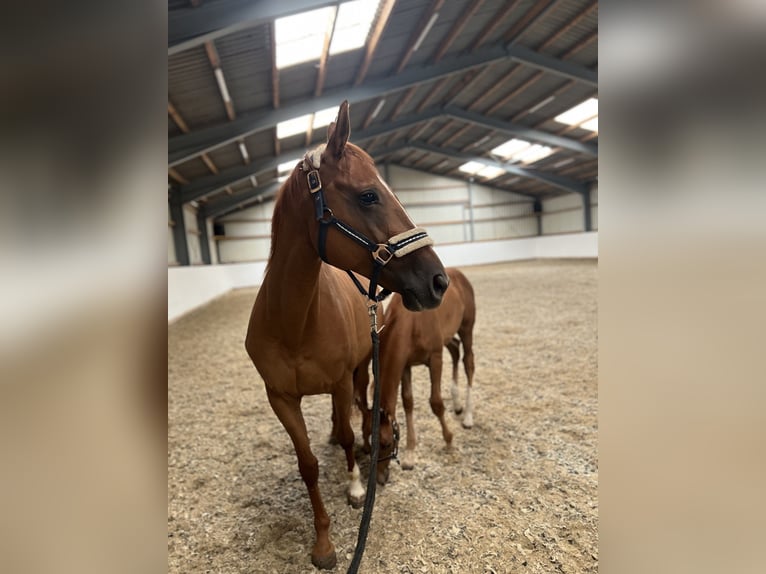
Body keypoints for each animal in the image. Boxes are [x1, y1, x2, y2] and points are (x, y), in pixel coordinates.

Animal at [244, 100, 449, 570]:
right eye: (368, 195)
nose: (438, 281)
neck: (294, 324)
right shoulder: (280, 399)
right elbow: (307, 465)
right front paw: (323, 543)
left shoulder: (340, 380)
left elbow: (355, 432)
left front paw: (357, 487)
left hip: (360, 367)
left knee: (357, 408)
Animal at [359, 267, 476, 485]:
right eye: (366, 443)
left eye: (386, 443)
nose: (379, 479)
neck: (411, 323)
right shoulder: (405, 366)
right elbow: (408, 402)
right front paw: (410, 454)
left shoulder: (435, 358)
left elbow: (436, 402)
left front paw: (449, 440)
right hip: (449, 336)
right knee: (455, 350)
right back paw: (457, 404)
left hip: (467, 329)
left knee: (468, 363)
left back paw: (468, 417)